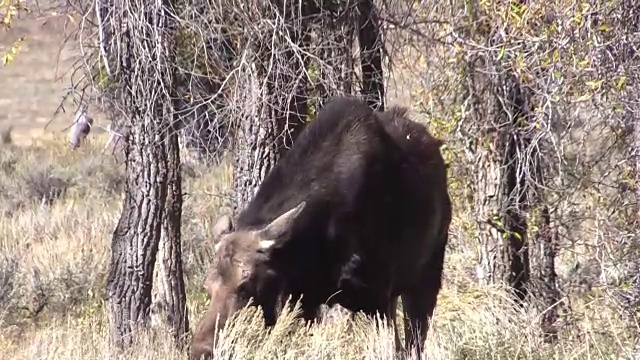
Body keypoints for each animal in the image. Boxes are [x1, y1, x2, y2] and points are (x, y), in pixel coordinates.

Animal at [188, 96, 452, 360]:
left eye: (246, 285)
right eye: (207, 287)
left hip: (427, 273)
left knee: (416, 338)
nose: (200, 350)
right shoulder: (305, 301)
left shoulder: (377, 296)